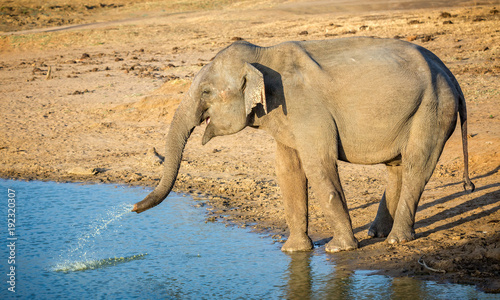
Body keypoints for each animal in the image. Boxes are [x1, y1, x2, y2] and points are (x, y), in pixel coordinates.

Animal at [131, 37, 474, 253]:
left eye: (205, 93)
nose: (132, 208)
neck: (263, 55)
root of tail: (452, 77)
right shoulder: (286, 115)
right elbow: (288, 169)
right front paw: (294, 251)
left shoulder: (306, 109)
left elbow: (317, 164)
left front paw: (338, 250)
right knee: (397, 166)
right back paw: (377, 234)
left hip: (433, 108)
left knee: (417, 164)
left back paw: (395, 241)